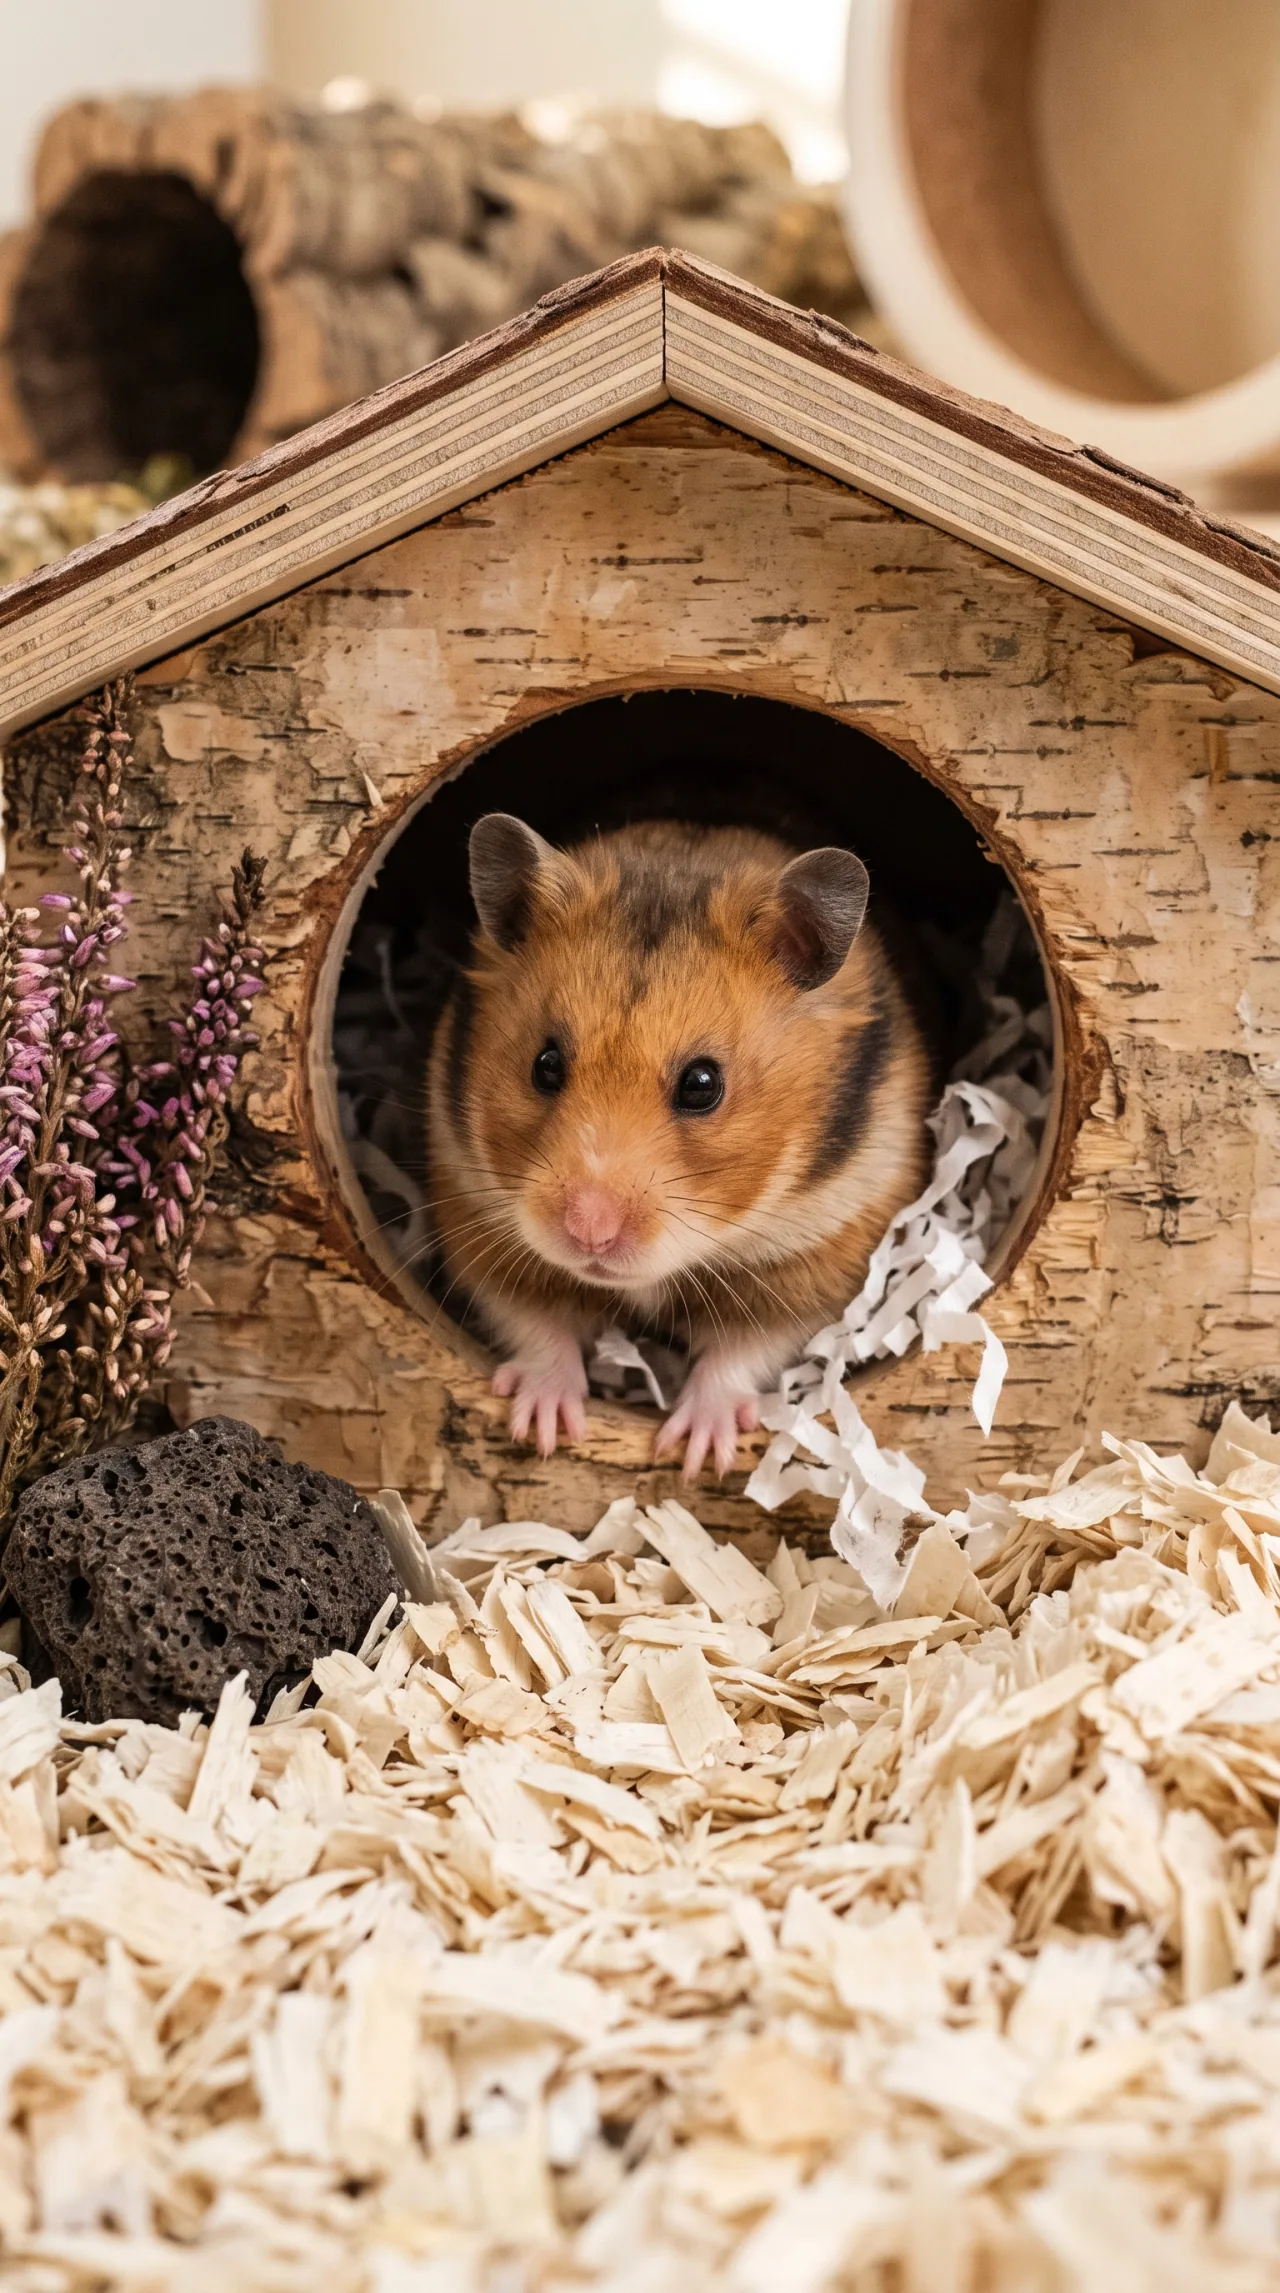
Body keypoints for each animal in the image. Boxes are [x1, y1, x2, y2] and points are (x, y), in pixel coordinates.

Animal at [426, 813, 934, 1480]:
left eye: (702, 1084)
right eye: (545, 1065)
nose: (588, 1233)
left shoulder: (821, 1259)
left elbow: (745, 1351)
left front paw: (695, 1456)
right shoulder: (478, 1221)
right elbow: (535, 1321)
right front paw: (541, 1429)